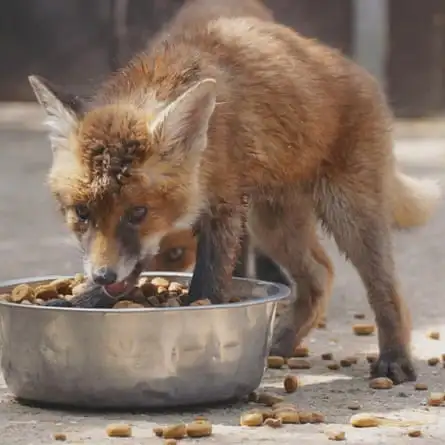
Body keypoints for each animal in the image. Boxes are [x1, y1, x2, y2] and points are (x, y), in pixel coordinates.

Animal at [27, 0, 440, 384]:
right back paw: (281, 344)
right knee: (319, 274)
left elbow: (208, 282)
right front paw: (86, 300)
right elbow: (134, 272)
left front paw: (198, 323)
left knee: (384, 286)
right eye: (82, 213)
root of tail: (355, 68)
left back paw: (394, 357)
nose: (101, 275)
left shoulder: (224, 204)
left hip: (347, 213)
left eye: (137, 213)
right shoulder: (164, 235)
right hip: (270, 222)